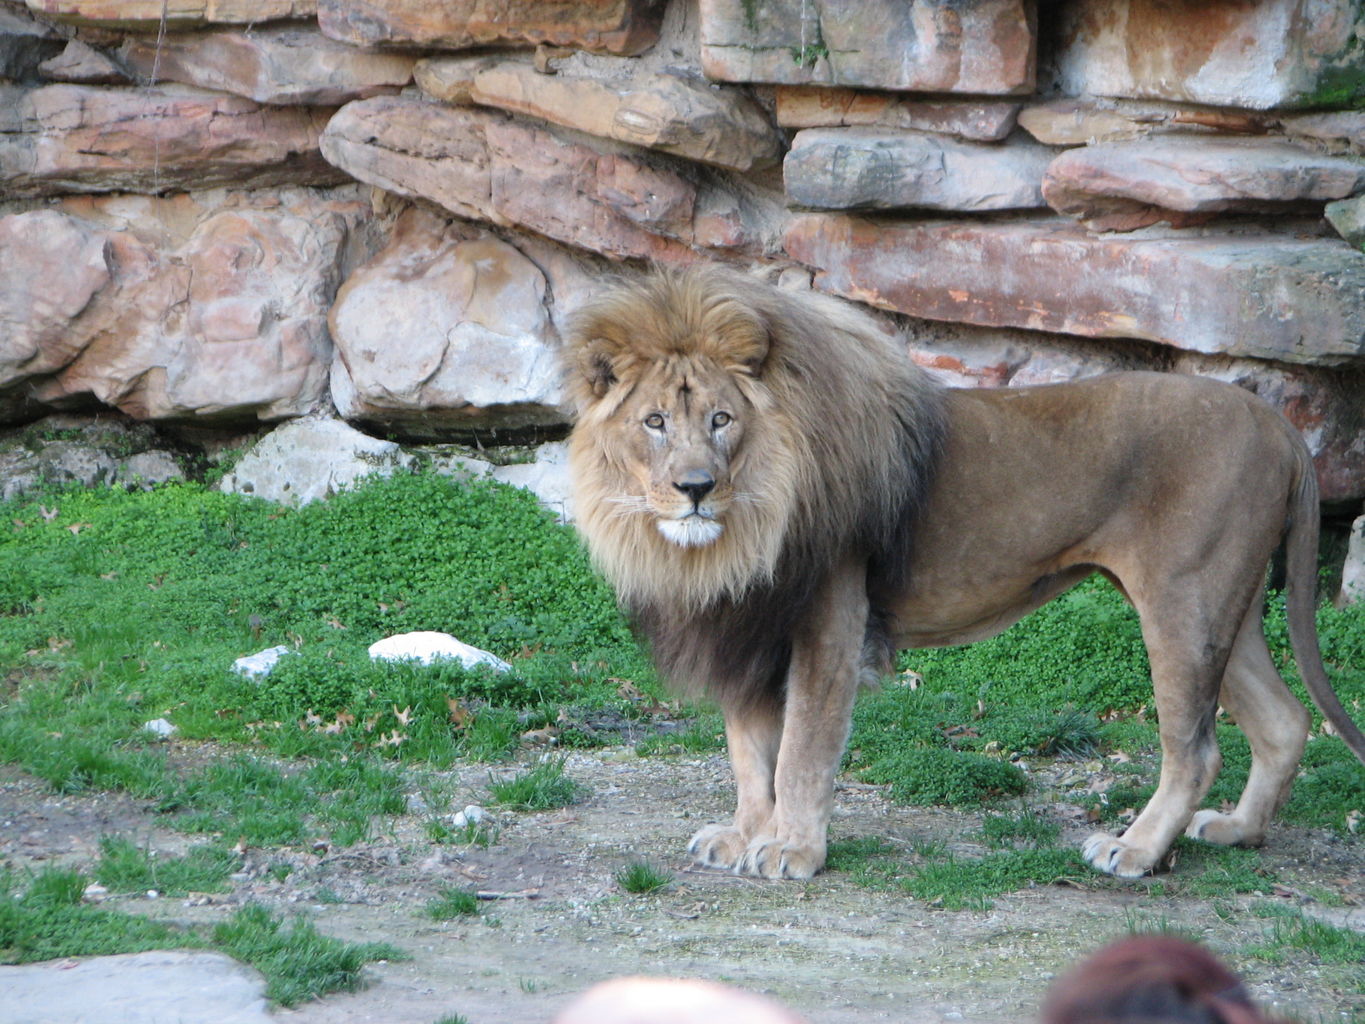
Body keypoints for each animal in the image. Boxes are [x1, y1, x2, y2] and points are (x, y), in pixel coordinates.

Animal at [556, 264, 1365, 884]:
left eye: (722, 420)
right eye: (655, 422)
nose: (694, 488)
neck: (737, 529)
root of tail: (1279, 426)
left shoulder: (828, 620)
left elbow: (800, 752)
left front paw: (792, 851)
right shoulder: (745, 625)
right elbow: (748, 752)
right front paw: (745, 834)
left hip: (1181, 602)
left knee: (1195, 748)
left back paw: (1133, 850)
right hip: (1227, 606)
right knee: (1284, 721)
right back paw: (1237, 832)